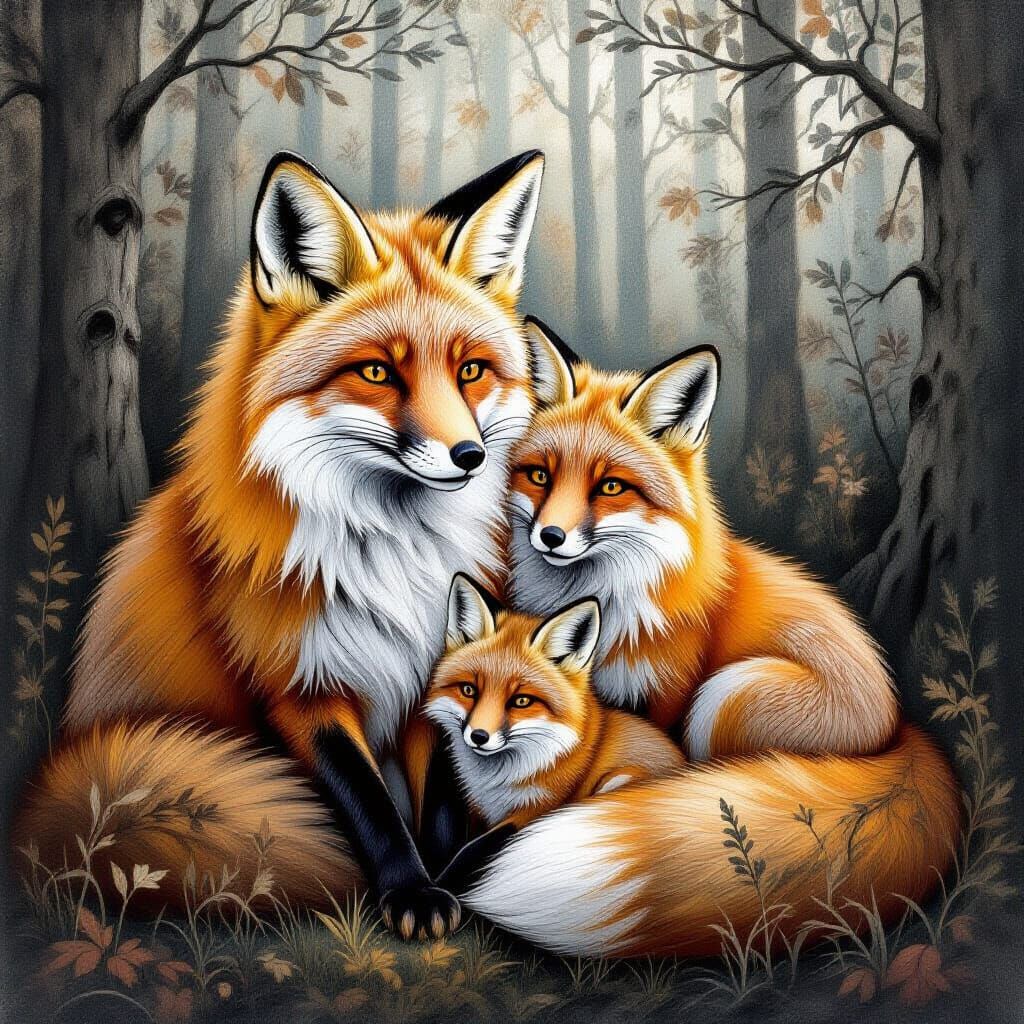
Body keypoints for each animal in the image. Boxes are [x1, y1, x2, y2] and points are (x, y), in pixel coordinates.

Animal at [15, 151, 563, 940]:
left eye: (470, 371)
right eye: (377, 372)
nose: (469, 456)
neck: (394, 558)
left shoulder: (439, 675)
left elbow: (441, 797)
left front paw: (446, 873)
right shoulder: (300, 685)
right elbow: (370, 803)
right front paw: (411, 891)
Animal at [452, 318, 961, 957]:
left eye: (611, 487)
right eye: (539, 475)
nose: (550, 536)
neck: (609, 602)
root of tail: (897, 727)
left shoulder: (670, 694)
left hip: (727, 693)